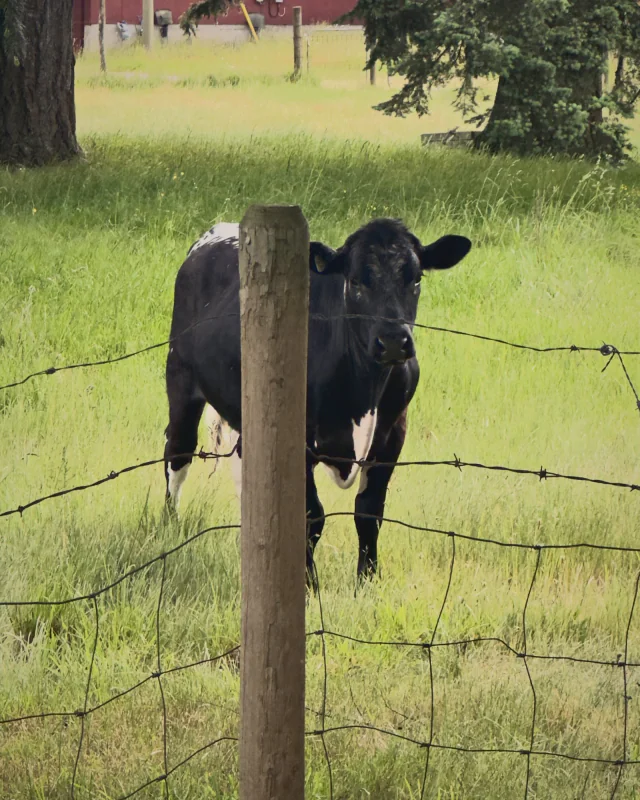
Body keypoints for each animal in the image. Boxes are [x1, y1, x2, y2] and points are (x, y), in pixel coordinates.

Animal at [164, 218, 471, 581]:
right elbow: (311, 516)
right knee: (177, 451)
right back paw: (168, 525)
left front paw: (367, 580)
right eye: (355, 281)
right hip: (180, 381)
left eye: (416, 279)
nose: (394, 341)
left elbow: (369, 512)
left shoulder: (393, 433)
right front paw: (309, 583)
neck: (362, 391)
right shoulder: (299, 440)